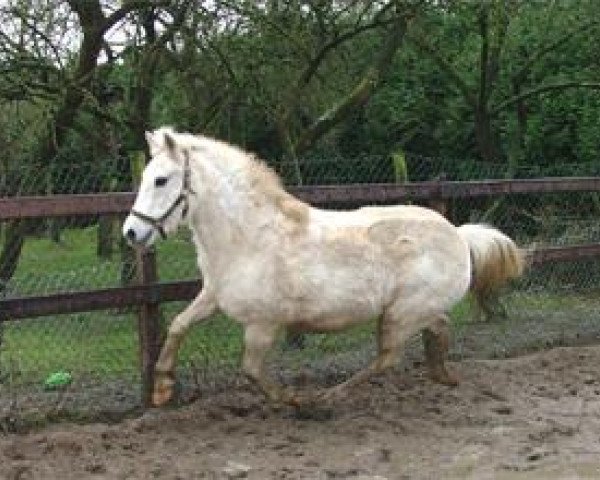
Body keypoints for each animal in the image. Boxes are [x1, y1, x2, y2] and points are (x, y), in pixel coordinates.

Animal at [123, 127, 524, 404]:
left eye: (161, 180)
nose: (131, 232)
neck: (249, 239)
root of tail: (458, 234)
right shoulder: (212, 297)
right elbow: (178, 325)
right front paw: (161, 388)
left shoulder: (263, 324)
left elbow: (251, 372)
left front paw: (296, 401)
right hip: (412, 311)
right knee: (437, 329)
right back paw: (442, 376)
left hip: (401, 314)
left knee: (388, 358)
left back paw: (328, 398)